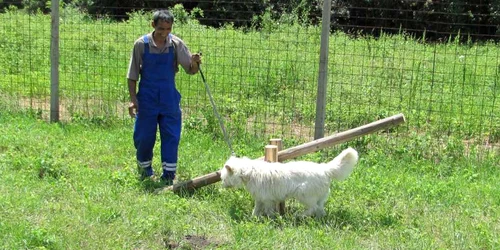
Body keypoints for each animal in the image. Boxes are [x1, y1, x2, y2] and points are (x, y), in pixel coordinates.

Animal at [221, 146, 358, 217]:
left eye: (223, 178)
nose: (222, 185)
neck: (248, 172)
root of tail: (325, 169)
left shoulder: (267, 200)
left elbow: (269, 212)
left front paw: (270, 220)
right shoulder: (260, 199)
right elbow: (256, 210)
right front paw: (253, 218)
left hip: (303, 195)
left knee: (312, 208)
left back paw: (300, 216)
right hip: (319, 198)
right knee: (320, 210)